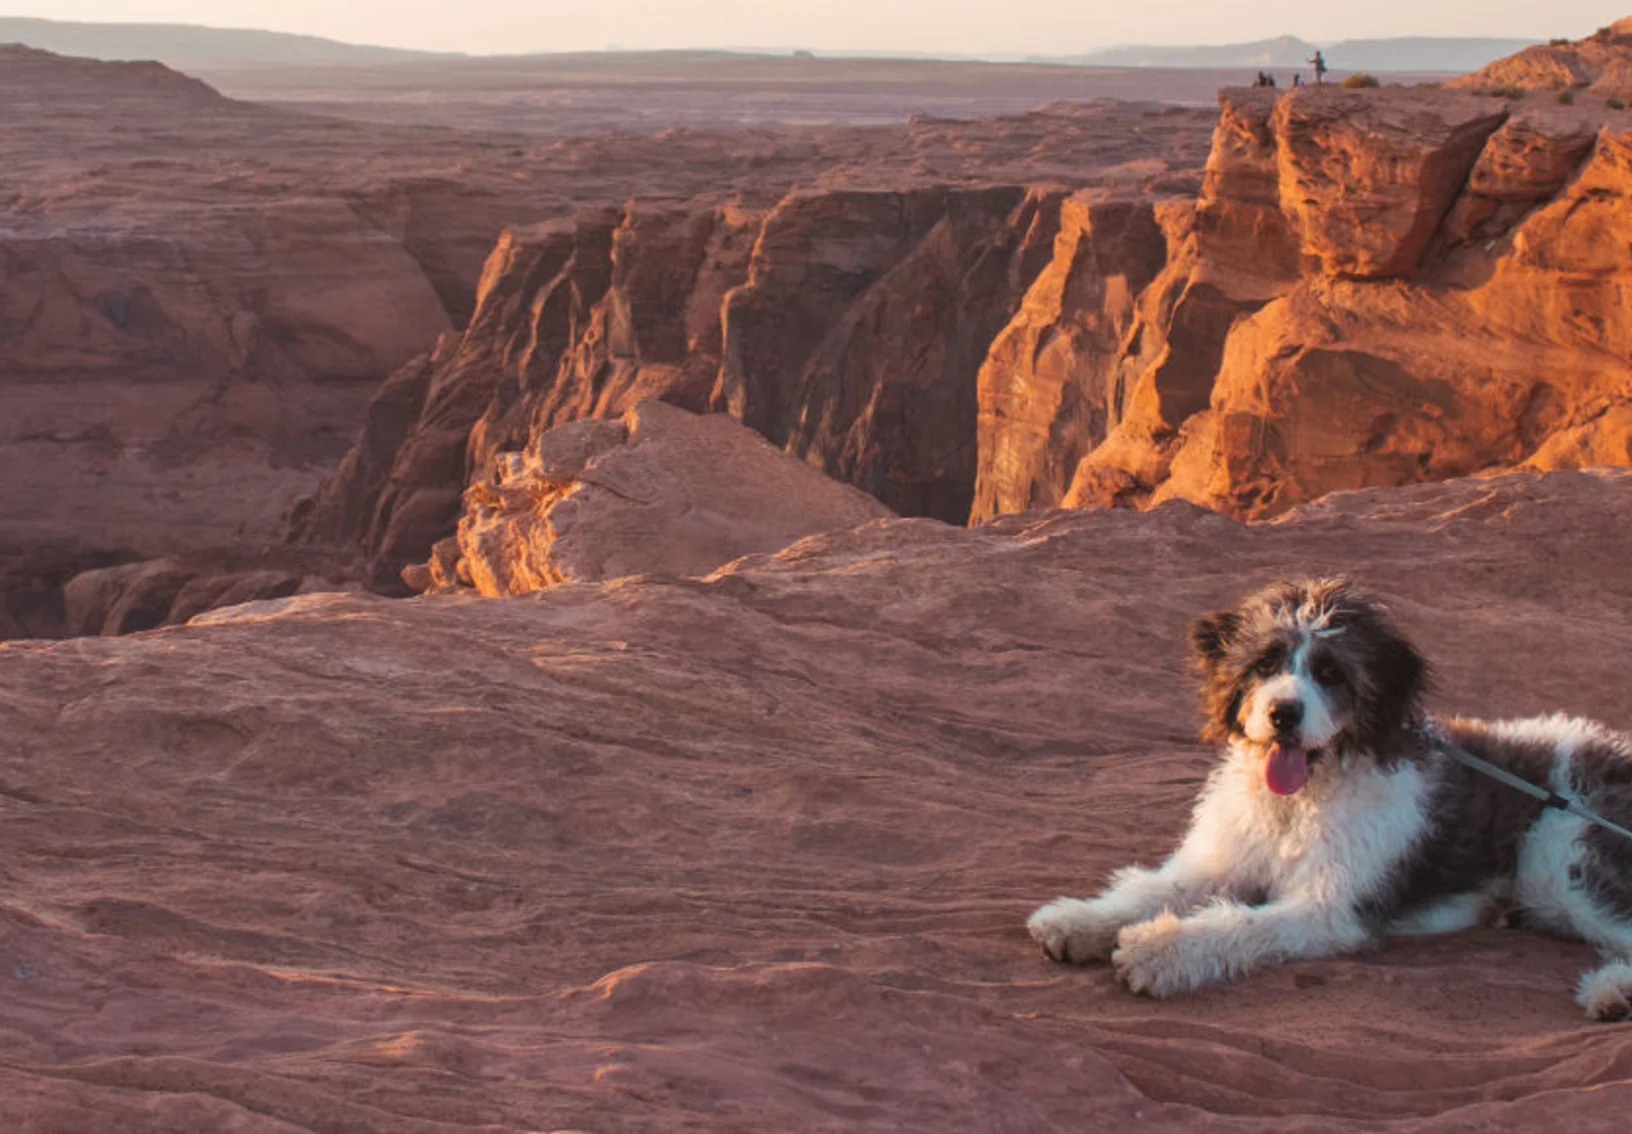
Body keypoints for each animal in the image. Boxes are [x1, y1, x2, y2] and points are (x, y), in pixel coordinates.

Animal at [1024, 577, 1632, 1018]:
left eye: (1331, 673)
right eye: (1266, 663)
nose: (1284, 713)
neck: (1296, 804)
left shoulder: (1328, 907)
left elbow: (1239, 924)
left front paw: (1160, 949)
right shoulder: (1225, 860)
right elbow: (1156, 888)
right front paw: (1080, 921)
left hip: (1564, 859)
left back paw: (1613, 992)